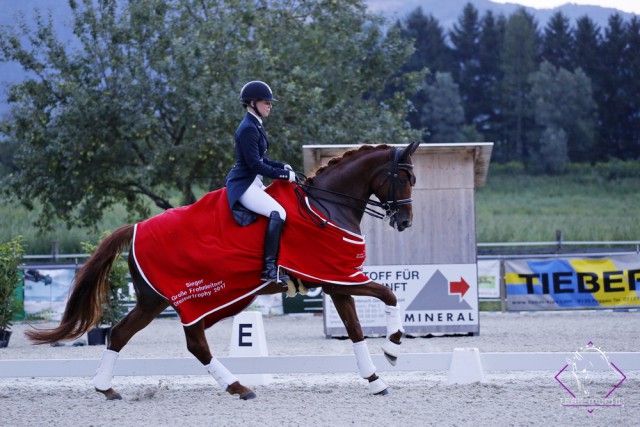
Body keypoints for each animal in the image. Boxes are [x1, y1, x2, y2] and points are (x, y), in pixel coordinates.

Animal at [26, 140, 420, 402]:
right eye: (403, 177)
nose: (404, 222)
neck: (327, 205)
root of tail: (135, 227)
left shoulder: (337, 282)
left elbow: (355, 331)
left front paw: (375, 380)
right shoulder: (341, 278)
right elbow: (389, 295)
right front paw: (393, 348)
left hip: (156, 300)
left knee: (123, 334)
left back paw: (106, 388)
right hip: (176, 299)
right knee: (193, 342)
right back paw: (238, 387)